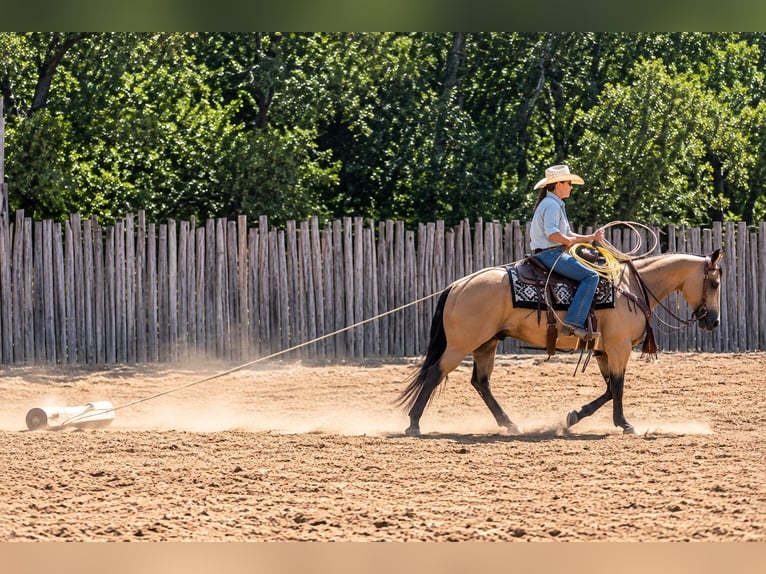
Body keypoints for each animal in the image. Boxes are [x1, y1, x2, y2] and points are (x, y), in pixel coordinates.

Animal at [397, 249, 723, 436]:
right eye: (715, 283)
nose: (713, 321)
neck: (630, 287)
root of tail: (457, 285)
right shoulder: (619, 347)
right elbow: (618, 386)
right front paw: (625, 424)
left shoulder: (604, 350)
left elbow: (609, 388)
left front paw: (574, 417)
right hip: (461, 345)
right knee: (434, 373)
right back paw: (413, 424)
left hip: (486, 344)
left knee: (481, 382)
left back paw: (509, 424)